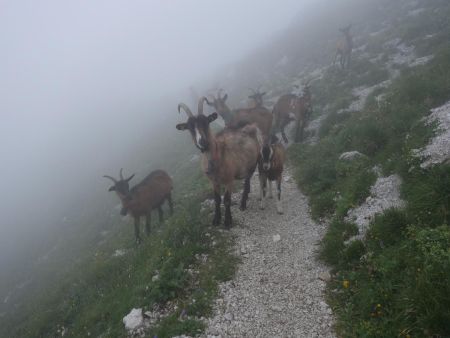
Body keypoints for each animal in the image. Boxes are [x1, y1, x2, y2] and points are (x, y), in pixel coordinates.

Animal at [174, 97, 262, 230]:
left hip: (253, 162)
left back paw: (243, 203)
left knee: (247, 181)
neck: (217, 156)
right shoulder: (213, 181)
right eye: (190, 128)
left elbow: (226, 200)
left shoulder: (229, 180)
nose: (202, 142)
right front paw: (216, 219)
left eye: (206, 122)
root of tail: (248, 126)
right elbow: (216, 200)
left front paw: (227, 221)